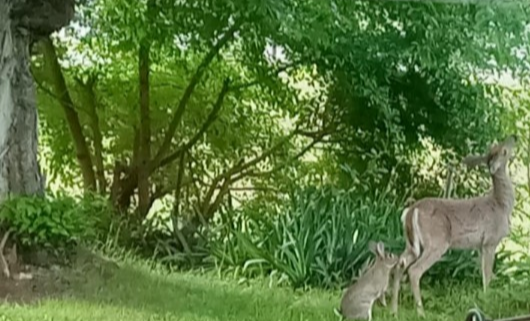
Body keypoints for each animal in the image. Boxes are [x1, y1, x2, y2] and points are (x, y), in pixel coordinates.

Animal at [388, 134, 516, 316]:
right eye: (504, 150)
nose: (514, 137)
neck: (501, 204)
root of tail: (412, 210)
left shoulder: (480, 246)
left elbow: (483, 274)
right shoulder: (491, 241)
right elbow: (488, 275)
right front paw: (488, 302)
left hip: (412, 243)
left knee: (399, 265)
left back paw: (394, 311)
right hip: (437, 241)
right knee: (414, 271)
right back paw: (421, 313)